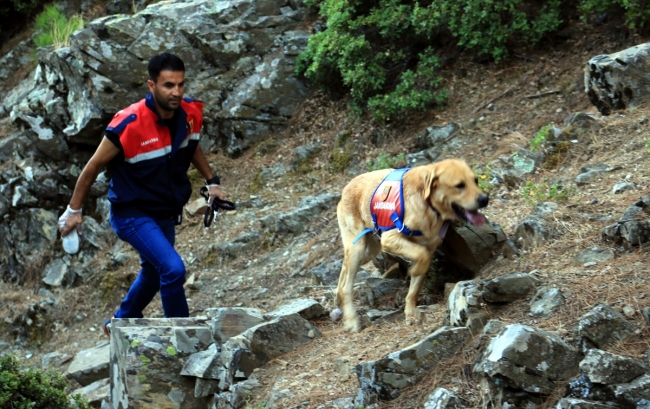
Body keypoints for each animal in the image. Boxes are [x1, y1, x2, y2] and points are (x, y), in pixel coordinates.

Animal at [334, 158, 486, 330]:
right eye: (460, 185)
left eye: (475, 180)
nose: (484, 199)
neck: (428, 206)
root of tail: (345, 189)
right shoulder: (390, 238)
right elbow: (421, 256)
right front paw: (415, 270)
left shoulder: (429, 247)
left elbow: (415, 288)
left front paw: (410, 313)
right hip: (359, 247)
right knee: (346, 286)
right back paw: (351, 319)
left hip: (369, 250)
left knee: (344, 270)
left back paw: (338, 298)